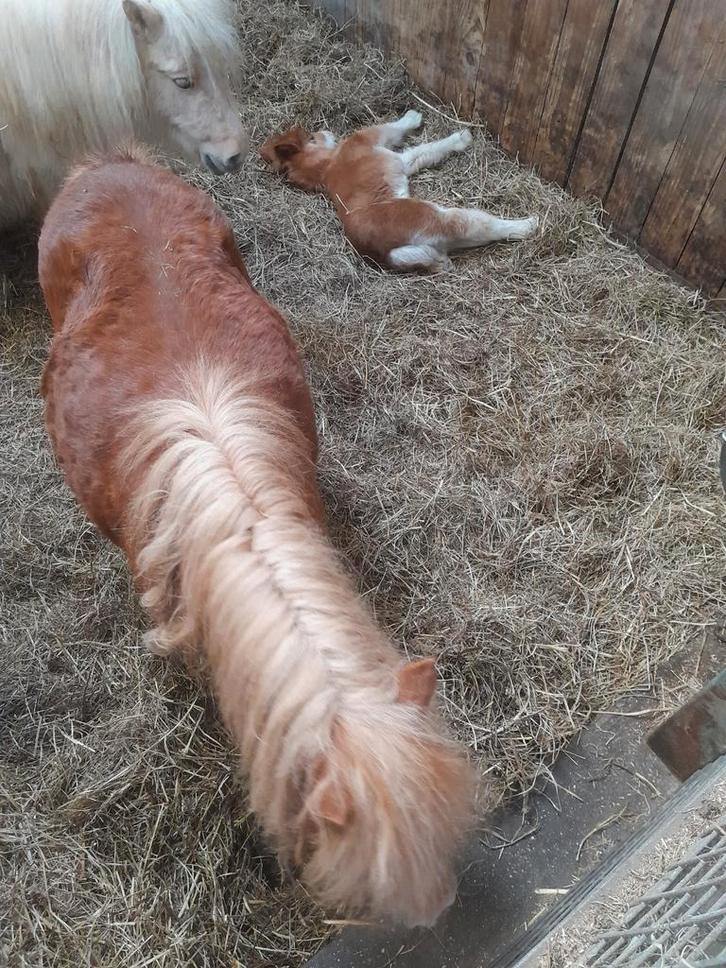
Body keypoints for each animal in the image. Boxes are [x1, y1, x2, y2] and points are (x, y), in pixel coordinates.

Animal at [260, 110, 539, 271]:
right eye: (313, 136)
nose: (324, 130)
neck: (325, 166)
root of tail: (386, 254)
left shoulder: (402, 163)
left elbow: (425, 153)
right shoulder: (386, 149)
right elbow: (423, 144)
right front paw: (451, 134)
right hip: (446, 219)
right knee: (490, 228)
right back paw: (529, 224)